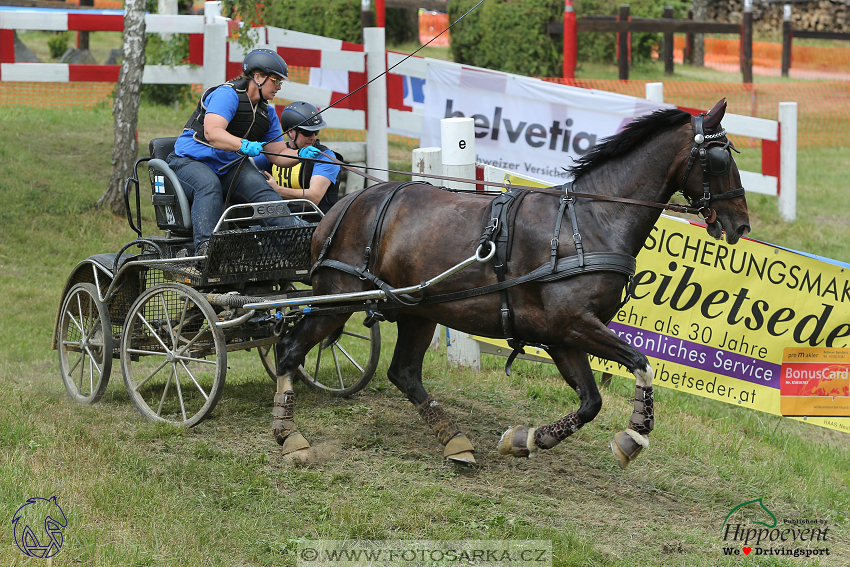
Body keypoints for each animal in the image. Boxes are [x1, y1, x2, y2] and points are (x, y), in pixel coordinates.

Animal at [272, 100, 748, 468]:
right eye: (721, 160)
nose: (740, 224)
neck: (591, 221)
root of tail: (343, 207)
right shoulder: (575, 324)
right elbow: (640, 362)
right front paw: (634, 435)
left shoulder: (561, 336)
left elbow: (591, 401)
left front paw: (527, 439)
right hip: (337, 297)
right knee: (290, 350)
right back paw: (288, 435)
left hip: (417, 309)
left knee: (403, 372)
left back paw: (455, 441)